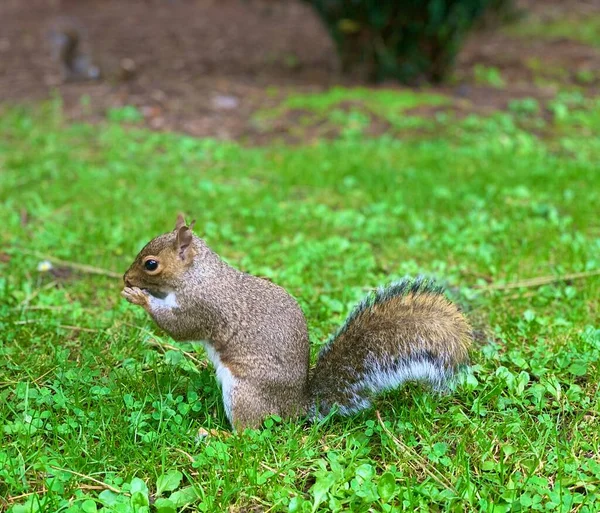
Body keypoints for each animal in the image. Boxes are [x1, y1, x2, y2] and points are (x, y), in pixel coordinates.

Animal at [122, 214, 474, 430]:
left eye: (151, 264)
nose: (126, 277)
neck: (197, 274)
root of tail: (295, 406)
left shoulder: (203, 307)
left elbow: (179, 328)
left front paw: (139, 297)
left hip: (244, 392)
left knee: (248, 433)